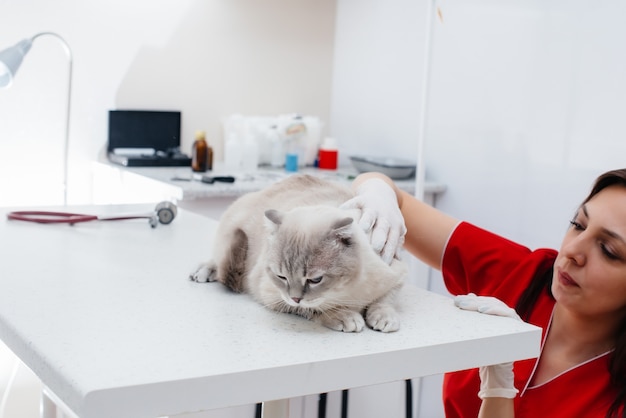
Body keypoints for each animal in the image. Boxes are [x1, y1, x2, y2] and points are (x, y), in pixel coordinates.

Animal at [190, 174, 404, 334]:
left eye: (315, 280)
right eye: (282, 277)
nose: (295, 298)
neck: (348, 290)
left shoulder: (397, 273)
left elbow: (386, 300)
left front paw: (384, 317)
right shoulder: (274, 295)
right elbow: (317, 308)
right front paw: (344, 316)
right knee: (218, 258)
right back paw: (205, 270)